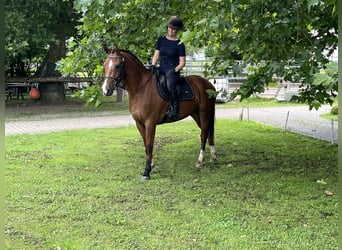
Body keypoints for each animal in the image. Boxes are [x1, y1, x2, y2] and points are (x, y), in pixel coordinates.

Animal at [101, 44, 216, 180]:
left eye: (118, 65)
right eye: (104, 65)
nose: (106, 90)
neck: (141, 88)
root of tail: (208, 84)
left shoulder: (150, 123)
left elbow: (150, 145)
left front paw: (146, 171)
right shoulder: (139, 124)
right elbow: (146, 145)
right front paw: (150, 164)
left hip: (204, 113)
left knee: (204, 134)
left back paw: (200, 161)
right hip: (196, 114)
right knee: (208, 132)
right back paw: (213, 157)